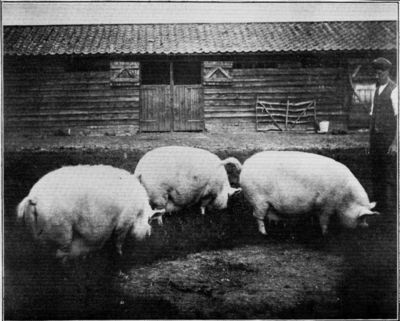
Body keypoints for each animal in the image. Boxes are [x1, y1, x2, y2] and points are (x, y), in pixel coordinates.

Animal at [16, 165, 162, 260]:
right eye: (149, 219)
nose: (149, 233)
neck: (139, 209)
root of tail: (33, 198)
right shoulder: (124, 221)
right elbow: (119, 240)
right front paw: (120, 254)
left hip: (37, 235)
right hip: (61, 231)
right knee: (60, 255)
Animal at [239, 150, 380, 235]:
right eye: (362, 217)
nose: (366, 227)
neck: (345, 198)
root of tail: (244, 165)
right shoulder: (326, 205)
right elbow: (324, 220)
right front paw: (325, 234)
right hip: (258, 199)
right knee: (258, 216)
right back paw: (264, 233)